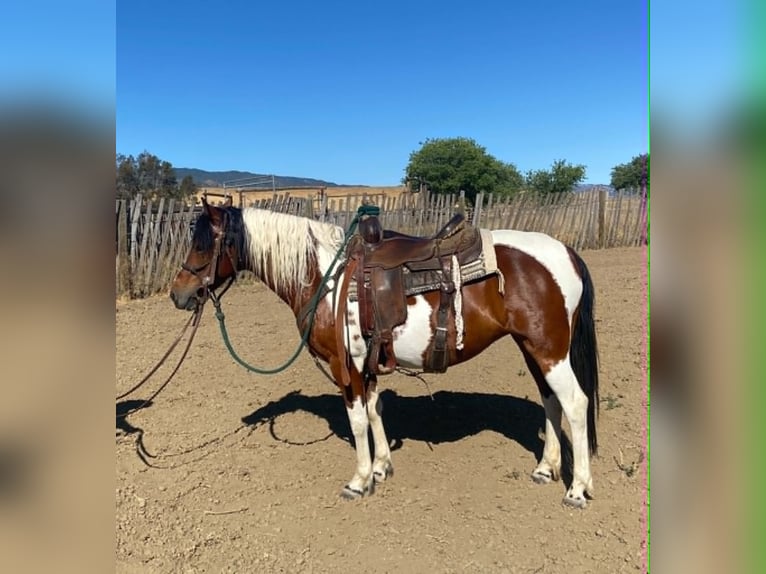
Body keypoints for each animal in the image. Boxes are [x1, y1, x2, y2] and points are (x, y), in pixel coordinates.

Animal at [169, 198, 599, 508]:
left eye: (203, 245)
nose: (178, 294)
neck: (324, 277)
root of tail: (567, 253)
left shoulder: (346, 366)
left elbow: (358, 419)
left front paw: (359, 480)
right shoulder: (369, 363)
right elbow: (375, 410)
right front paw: (380, 468)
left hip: (549, 349)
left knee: (575, 403)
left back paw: (577, 488)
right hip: (533, 348)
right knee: (550, 401)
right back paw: (546, 468)